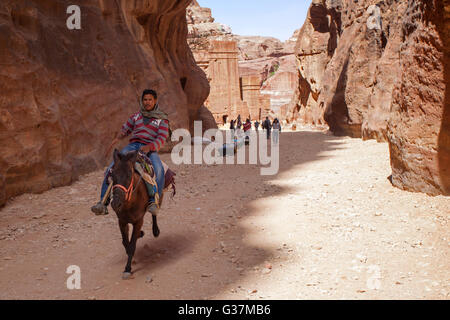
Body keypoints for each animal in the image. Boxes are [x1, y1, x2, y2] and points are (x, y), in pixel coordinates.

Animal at [109, 149, 160, 278]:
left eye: (129, 175)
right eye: (112, 175)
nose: (115, 203)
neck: (129, 203)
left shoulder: (138, 221)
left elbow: (132, 245)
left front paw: (127, 268)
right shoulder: (122, 221)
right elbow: (125, 242)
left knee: (154, 212)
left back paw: (155, 230)